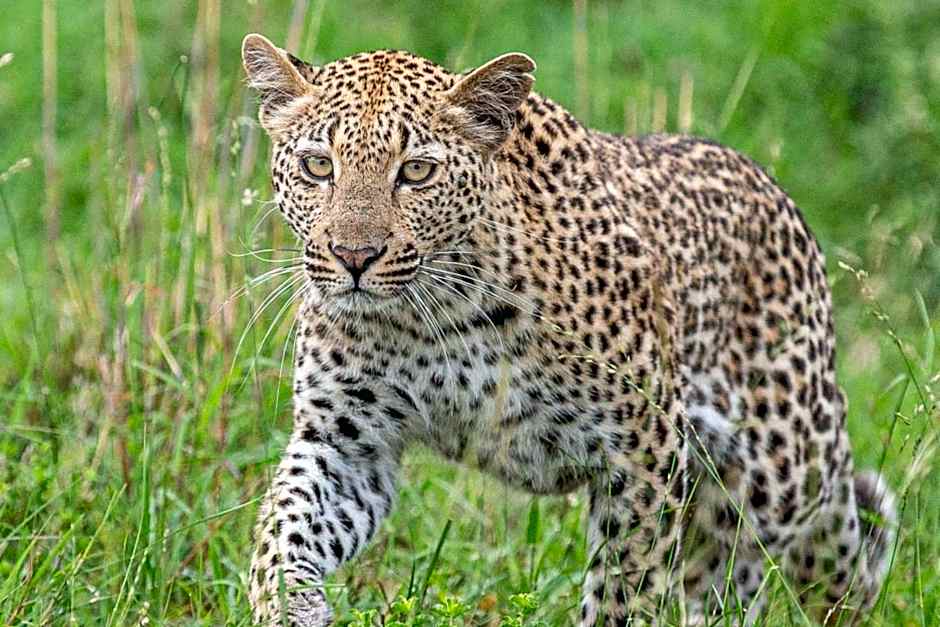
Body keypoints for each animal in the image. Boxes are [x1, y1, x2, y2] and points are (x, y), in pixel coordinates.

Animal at [240, 33, 897, 626]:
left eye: (417, 172)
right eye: (317, 166)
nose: (354, 256)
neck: (435, 318)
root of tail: (777, 193)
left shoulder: (643, 446)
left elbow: (628, 584)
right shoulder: (348, 442)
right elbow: (283, 532)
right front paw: (290, 606)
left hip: (783, 467)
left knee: (811, 552)